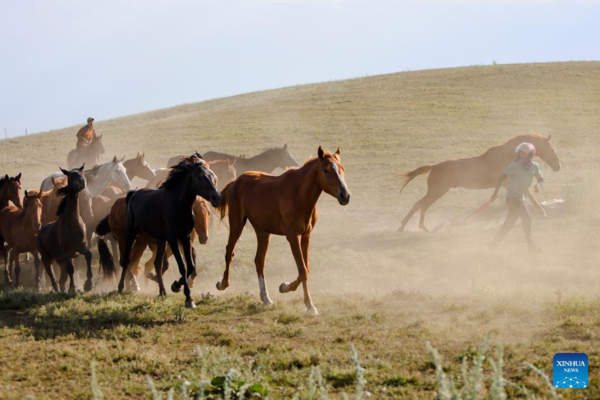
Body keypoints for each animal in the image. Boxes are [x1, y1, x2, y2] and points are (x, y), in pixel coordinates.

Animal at [36, 166, 94, 294]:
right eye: (71, 175)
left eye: (82, 173)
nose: (82, 182)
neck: (72, 224)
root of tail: (40, 233)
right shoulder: (66, 253)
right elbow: (71, 269)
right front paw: (73, 288)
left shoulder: (81, 247)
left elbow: (88, 256)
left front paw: (88, 284)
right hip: (48, 258)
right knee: (50, 273)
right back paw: (56, 289)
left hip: (59, 260)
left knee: (62, 276)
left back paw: (62, 289)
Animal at [107, 155, 220, 308]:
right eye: (199, 177)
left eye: (213, 176)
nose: (217, 197)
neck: (178, 204)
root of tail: (133, 193)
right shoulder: (172, 239)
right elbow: (182, 267)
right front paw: (188, 298)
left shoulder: (184, 237)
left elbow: (190, 266)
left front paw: (176, 286)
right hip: (130, 234)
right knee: (126, 260)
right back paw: (121, 288)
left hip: (159, 240)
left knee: (156, 264)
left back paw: (162, 291)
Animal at [214, 145, 350, 314]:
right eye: (326, 170)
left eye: (342, 168)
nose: (345, 195)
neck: (299, 194)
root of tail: (235, 182)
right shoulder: (292, 236)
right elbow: (302, 269)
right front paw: (309, 305)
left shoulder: (306, 236)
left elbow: (305, 268)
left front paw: (285, 287)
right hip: (236, 225)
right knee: (229, 252)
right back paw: (223, 284)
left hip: (263, 232)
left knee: (259, 261)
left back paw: (266, 297)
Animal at [398, 134, 564, 231]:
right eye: (551, 148)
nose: (558, 166)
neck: (509, 155)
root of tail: (434, 166)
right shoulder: (508, 181)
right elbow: (529, 194)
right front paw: (542, 212)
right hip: (437, 191)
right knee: (421, 204)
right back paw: (412, 227)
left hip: (436, 191)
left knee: (422, 205)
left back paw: (414, 227)